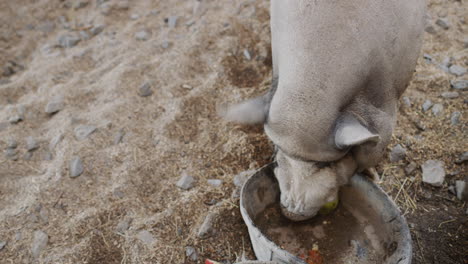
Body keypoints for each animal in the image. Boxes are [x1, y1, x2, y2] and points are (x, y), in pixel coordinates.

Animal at [224, 0, 428, 221]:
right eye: (278, 149)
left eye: (324, 164)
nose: (291, 213)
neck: (308, 96)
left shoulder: (386, 102)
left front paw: (373, 176)